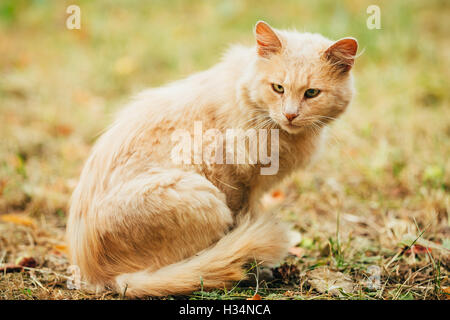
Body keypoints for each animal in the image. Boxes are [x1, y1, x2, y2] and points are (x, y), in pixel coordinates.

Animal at [67, 20, 356, 298]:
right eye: (278, 88)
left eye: (312, 93)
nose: (290, 115)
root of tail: (102, 277)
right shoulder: (237, 182)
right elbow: (243, 221)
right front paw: (255, 266)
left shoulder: (252, 189)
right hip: (205, 197)